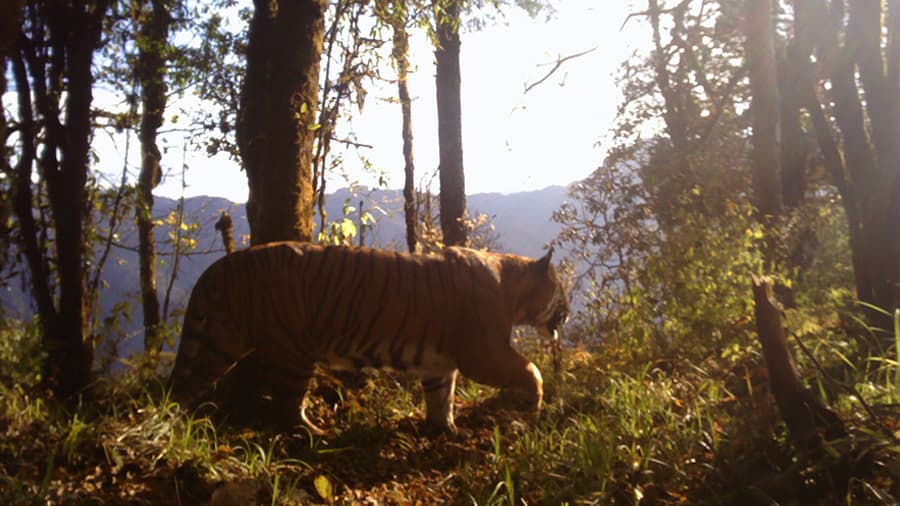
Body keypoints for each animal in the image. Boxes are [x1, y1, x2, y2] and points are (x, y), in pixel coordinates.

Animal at [169, 241, 569, 434]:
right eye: (561, 291)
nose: (566, 311)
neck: (515, 294)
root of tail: (224, 263)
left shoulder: (440, 364)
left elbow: (442, 396)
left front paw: (445, 430)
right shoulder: (484, 354)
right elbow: (532, 370)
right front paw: (534, 405)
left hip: (222, 340)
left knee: (188, 382)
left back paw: (172, 422)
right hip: (292, 351)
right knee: (287, 405)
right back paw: (314, 435)